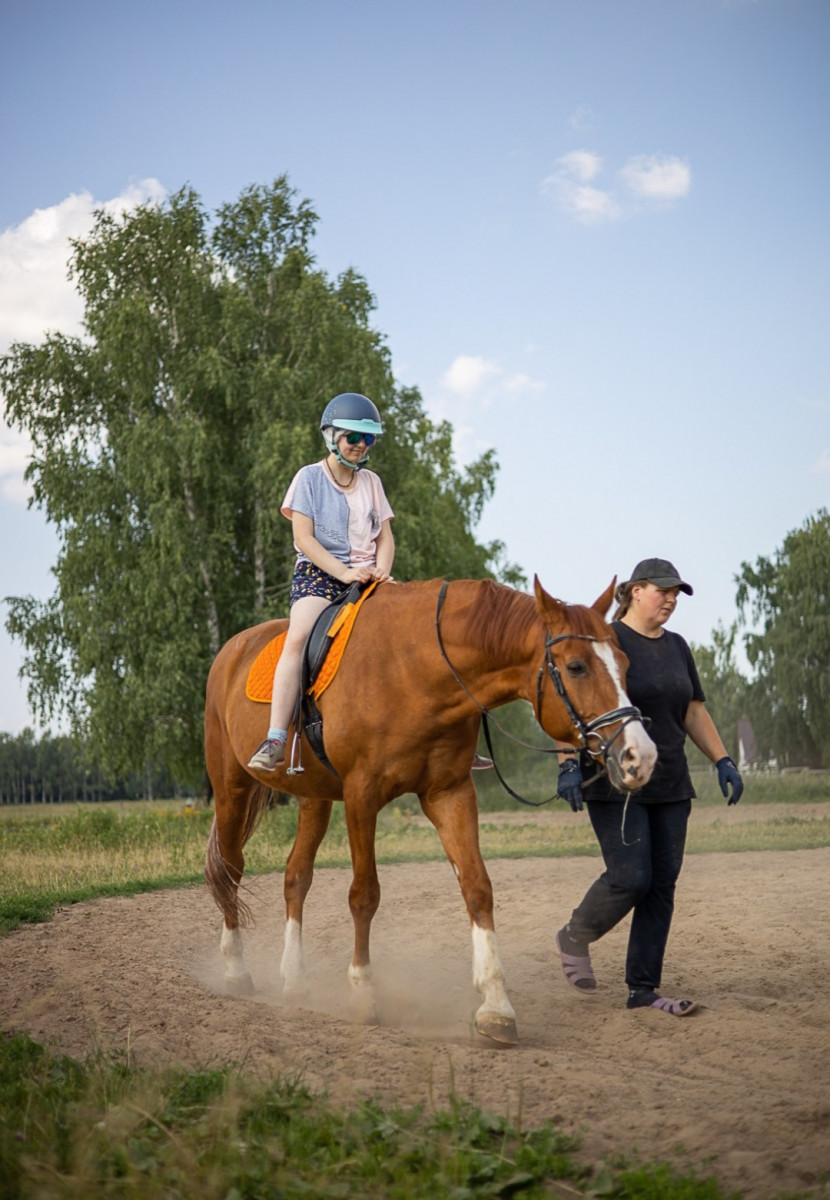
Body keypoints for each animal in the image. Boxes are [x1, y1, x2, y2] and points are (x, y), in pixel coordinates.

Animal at [202, 578, 657, 1041]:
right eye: (577, 667)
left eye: (624, 663)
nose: (640, 756)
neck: (415, 669)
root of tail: (233, 647)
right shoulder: (362, 794)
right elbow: (364, 895)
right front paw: (363, 994)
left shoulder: (449, 794)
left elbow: (477, 887)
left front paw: (496, 1005)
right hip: (231, 788)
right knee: (231, 869)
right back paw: (236, 971)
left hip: (314, 797)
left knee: (296, 876)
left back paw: (294, 979)